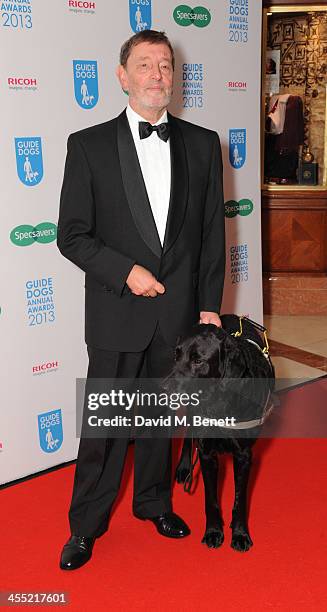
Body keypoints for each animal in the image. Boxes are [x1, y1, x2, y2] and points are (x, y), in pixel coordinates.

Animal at [163, 318, 274, 552]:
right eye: (176, 355)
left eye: (198, 360)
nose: (164, 388)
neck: (220, 401)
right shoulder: (207, 454)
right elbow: (211, 499)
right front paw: (214, 531)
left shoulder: (244, 455)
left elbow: (240, 501)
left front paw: (240, 534)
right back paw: (184, 467)